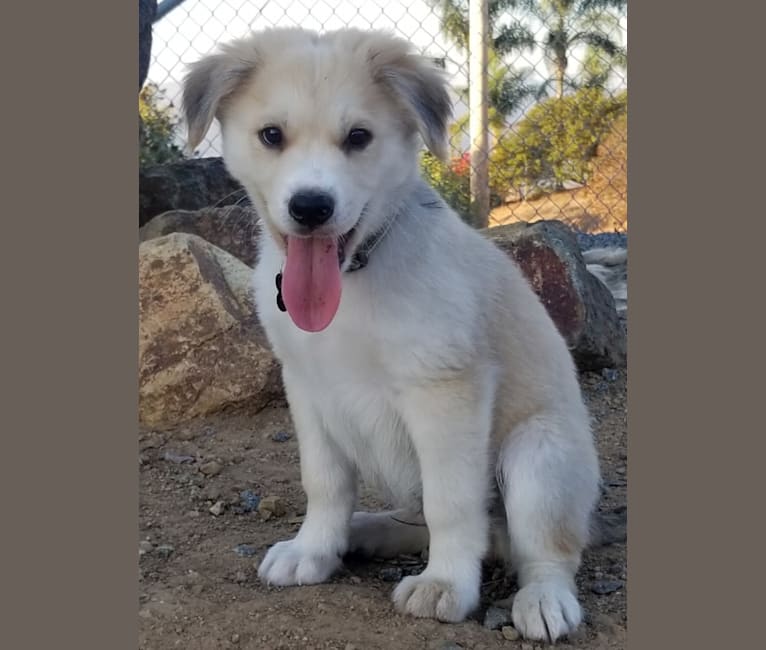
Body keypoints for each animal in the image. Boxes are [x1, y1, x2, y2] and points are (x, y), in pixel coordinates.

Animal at [183, 27, 604, 640]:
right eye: (271, 136)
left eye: (359, 137)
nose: (311, 207)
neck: (357, 276)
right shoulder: (306, 388)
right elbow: (325, 482)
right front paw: (315, 549)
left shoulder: (445, 392)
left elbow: (452, 504)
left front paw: (446, 584)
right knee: (420, 519)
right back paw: (364, 531)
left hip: (539, 452)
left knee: (544, 549)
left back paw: (544, 600)